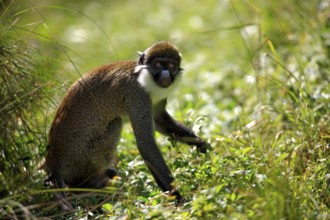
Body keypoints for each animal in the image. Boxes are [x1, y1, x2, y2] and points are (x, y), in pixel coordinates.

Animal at [45, 41, 208, 211]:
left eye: (170, 65)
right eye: (157, 65)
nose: (165, 75)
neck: (143, 77)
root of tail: (53, 163)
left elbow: (158, 119)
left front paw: (200, 143)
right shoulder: (137, 95)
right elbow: (146, 145)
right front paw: (178, 198)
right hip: (80, 161)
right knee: (115, 123)